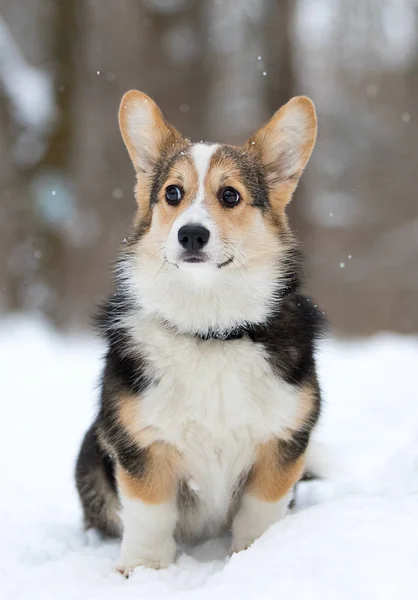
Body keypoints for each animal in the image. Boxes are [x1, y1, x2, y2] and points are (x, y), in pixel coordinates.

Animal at [74, 90, 324, 576]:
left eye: (230, 195)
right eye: (173, 192)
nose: (191, 234)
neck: (210, 328)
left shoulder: (282, 443)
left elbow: (260, 512)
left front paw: (254, 558)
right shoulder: (142, 444)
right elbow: (150, 515)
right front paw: (142, 571)